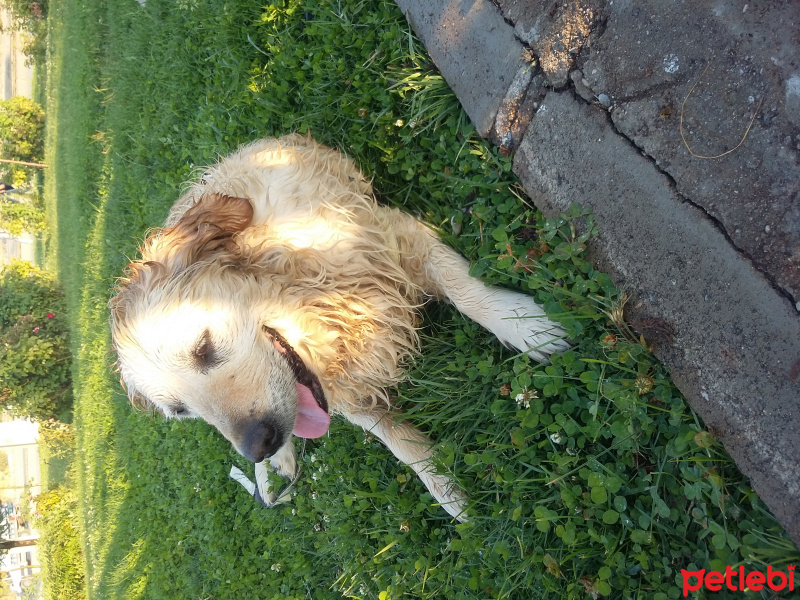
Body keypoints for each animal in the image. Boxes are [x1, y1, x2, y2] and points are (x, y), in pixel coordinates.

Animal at [109, 136, 568, 520]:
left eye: (203, 348)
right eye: (180, 411)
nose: (259, 445)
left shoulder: (395, 238)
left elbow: (467, 290)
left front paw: (524, 326)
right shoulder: (340, 394)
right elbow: (397, 442)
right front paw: (444, 486)